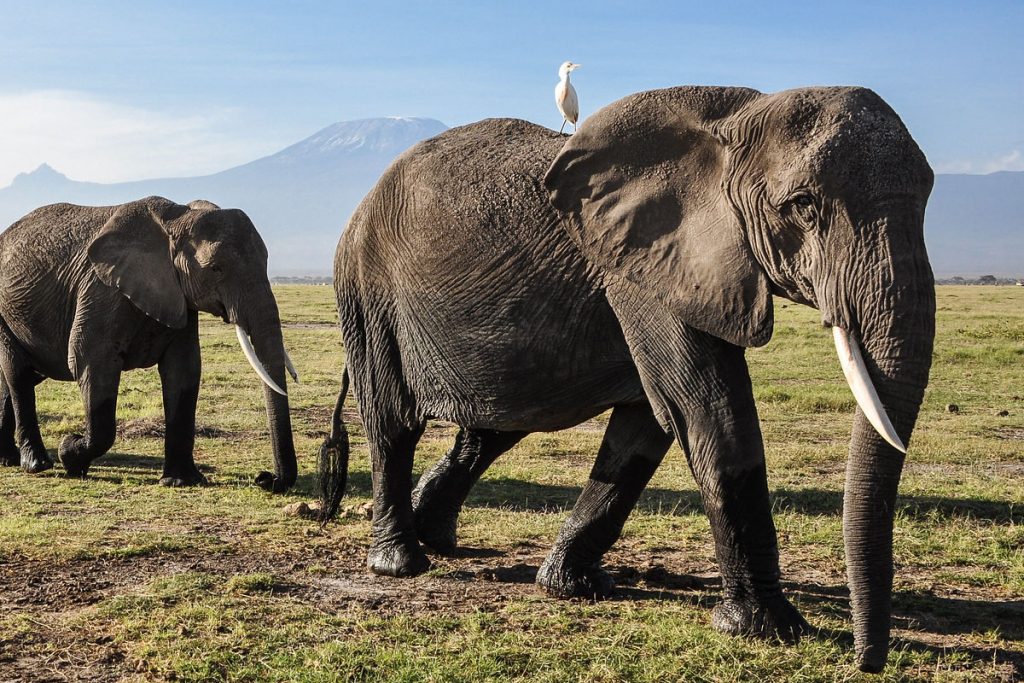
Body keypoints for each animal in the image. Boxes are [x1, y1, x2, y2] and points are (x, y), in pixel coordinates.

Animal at [0, 196, 299, 491]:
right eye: (216, 269)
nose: (265, 478)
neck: (177, 218)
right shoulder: (100, 291)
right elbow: (90, 361)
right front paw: (69, 453)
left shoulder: (179, 297)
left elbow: (183, 370)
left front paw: (181, 481)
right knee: (18, 375)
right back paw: (36, 464)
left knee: (11, 380)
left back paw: (8, 460)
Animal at [321, 83, 937, 671]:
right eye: (803, 205)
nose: (867, 661)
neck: (738, 119)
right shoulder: (649, 266)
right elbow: (708, 412)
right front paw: (770, 629)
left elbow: (647, 427)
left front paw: (572, 586)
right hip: (367, 290)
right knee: (394, 424)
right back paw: (401, 562)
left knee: (492, 430)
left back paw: (438, 537)